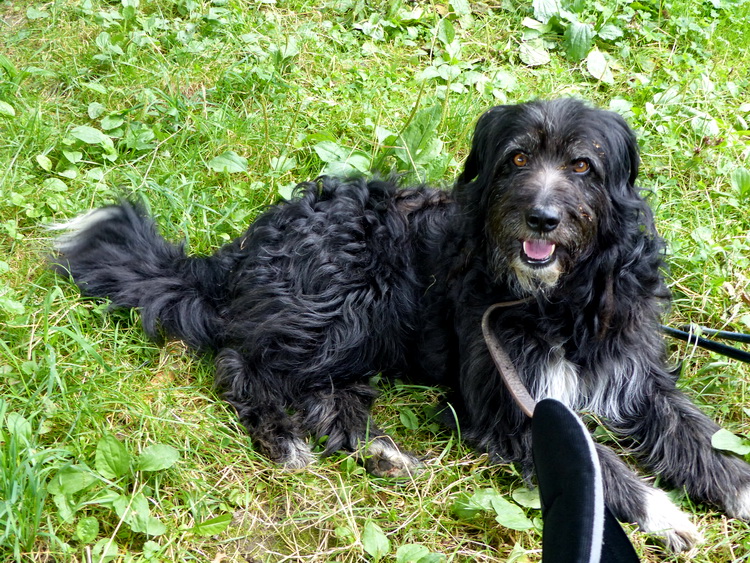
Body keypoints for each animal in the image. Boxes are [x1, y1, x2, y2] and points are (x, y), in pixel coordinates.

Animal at [53, 99, 750, 552]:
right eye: (517, 158)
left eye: (583, 166)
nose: (543, 219)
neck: (554, 300)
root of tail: (241, 252)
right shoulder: (514, 408)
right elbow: (602, 468)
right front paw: (668, 514)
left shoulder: (635, 374)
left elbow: (696, 434)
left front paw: (738, 491)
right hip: (349, 299)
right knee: (244, 366)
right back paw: (287, 440)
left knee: (323, 390)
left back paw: (382, 453)